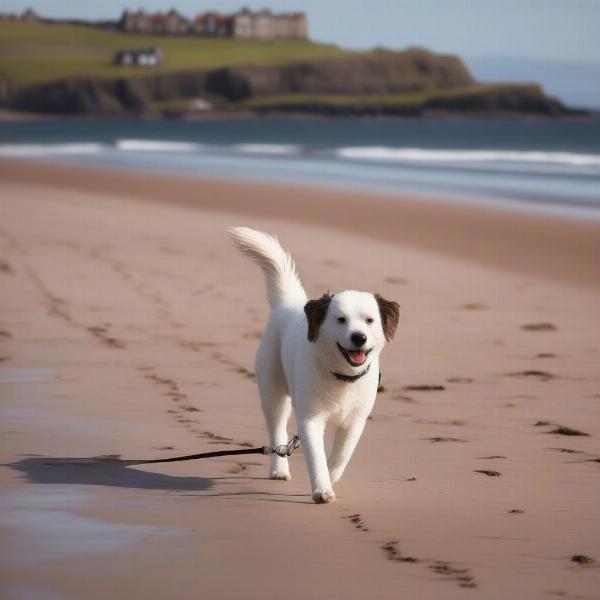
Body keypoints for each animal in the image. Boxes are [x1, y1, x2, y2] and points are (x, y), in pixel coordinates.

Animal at [229, 227, 398, 504]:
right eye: (341, 320)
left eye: (369, 320)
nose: (359, 337)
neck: (343, 378)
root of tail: (289, 303)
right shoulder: (310, 419)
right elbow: (316, 455)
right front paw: (322, 489)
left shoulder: (355, 421)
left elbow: (341, 455)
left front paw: (331, 477)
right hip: (272, 390)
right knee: (277, 432)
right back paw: (279, 469)